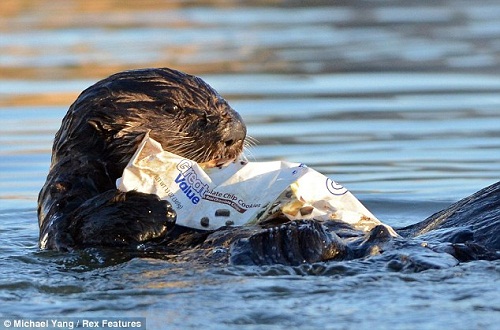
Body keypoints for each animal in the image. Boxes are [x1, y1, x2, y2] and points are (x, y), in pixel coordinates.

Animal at [36, 68, 500, 266]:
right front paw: (149, 209)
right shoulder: (61, 208)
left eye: (220, 99)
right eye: (176, 110)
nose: (236, 130)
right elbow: (73, 226)